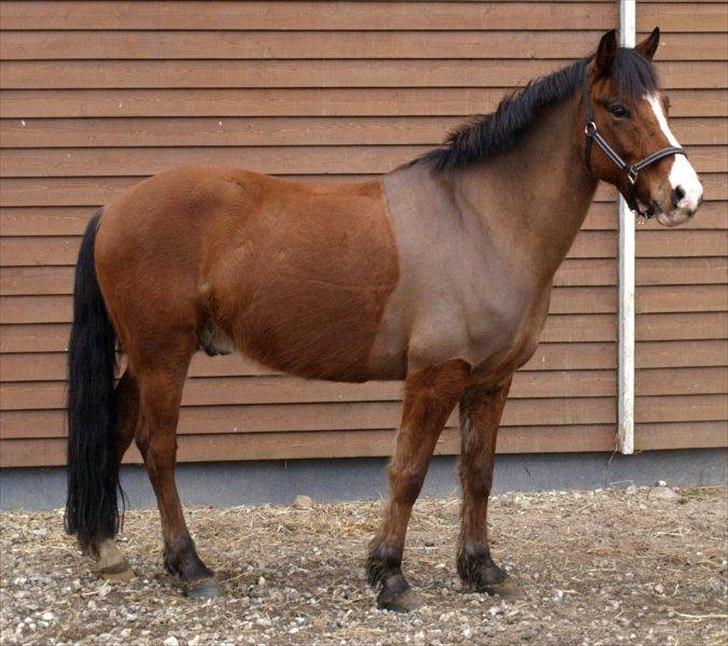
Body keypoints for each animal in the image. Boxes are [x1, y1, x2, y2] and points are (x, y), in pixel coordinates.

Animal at [64, 28, 703, 610]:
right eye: (618, 108)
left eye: (666, 105)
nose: (684, 195)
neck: (481, 219)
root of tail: (113, 208)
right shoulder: (435, 375)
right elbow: (408, 472)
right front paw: (389, 576)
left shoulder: (492, 379)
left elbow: (478, 472)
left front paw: (481, 569)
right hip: (163, 355)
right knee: (158, 447)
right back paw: (190, 566)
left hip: (146, 358)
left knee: (117, 428)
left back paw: (105, 549)